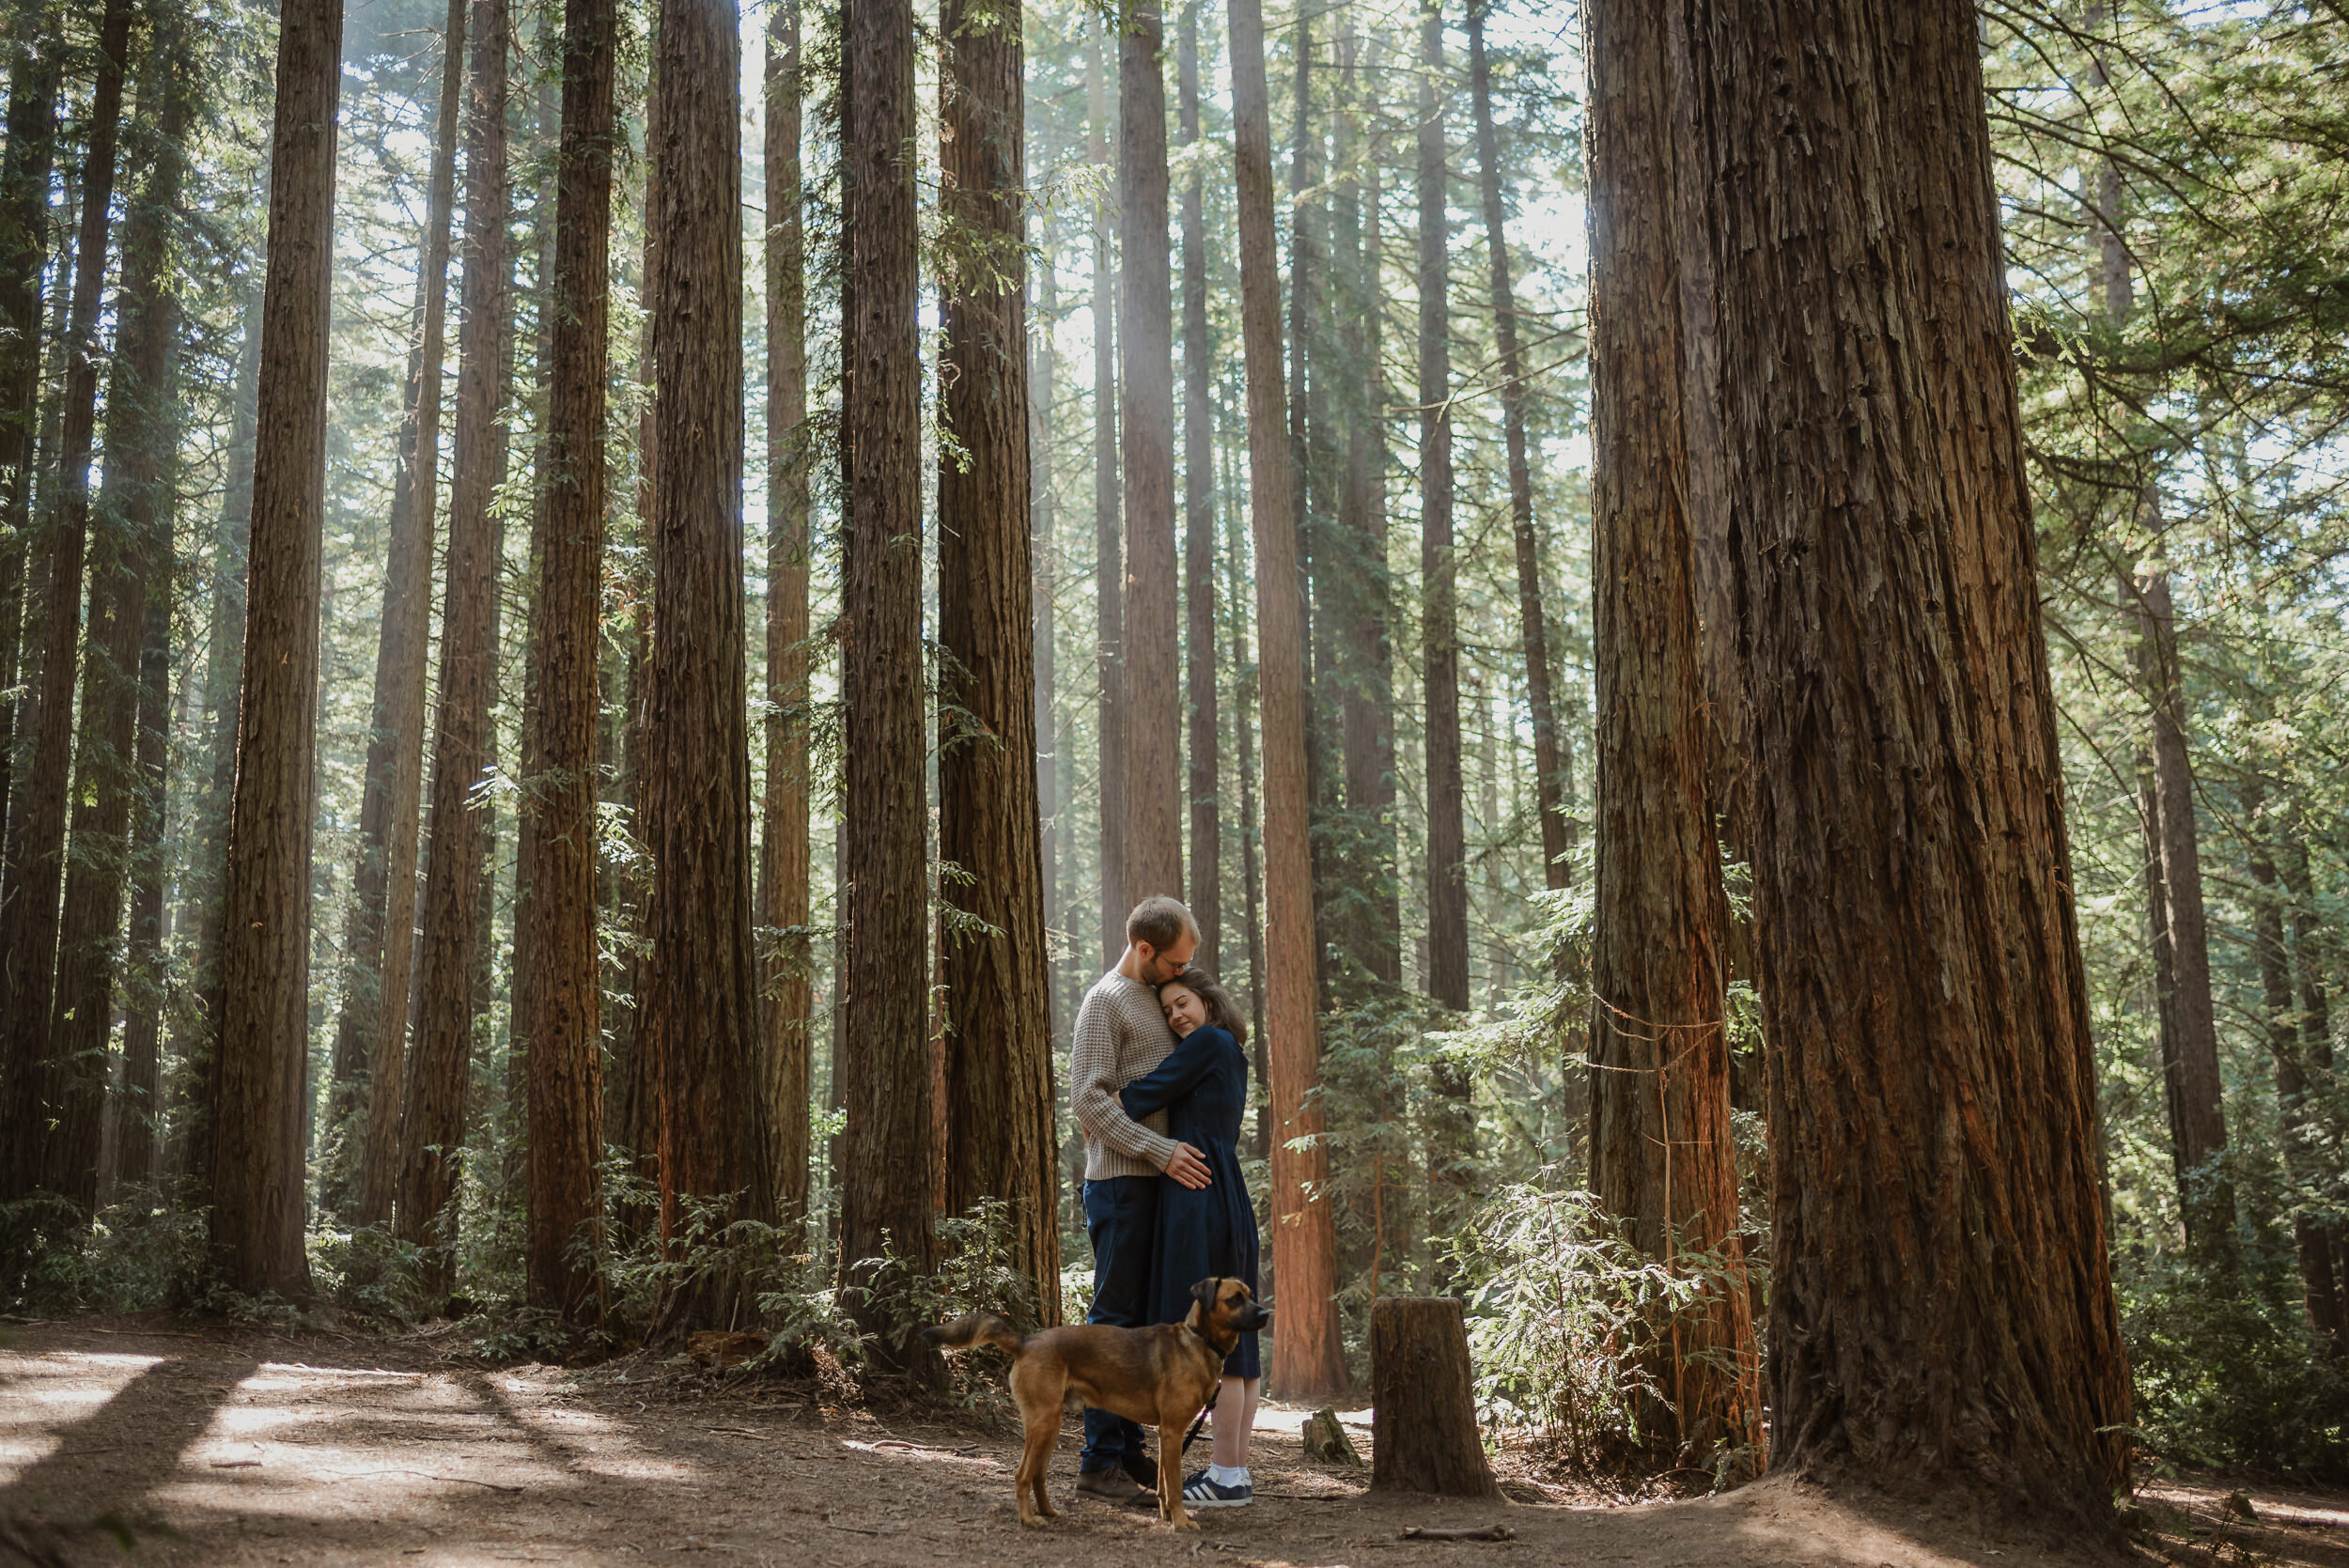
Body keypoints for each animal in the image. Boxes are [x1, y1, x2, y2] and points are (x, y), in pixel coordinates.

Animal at [926, 1277, 1278, 1521]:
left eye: (1251, 1295)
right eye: (1234, 1299)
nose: (1266, 1313)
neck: (1198, 1340)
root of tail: (1025, 1342)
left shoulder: (1167, 1435)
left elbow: (1163, 1485)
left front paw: (1166, 1518)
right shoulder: (1173, 1432)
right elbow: (1175, 1488)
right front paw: (1181, 1523)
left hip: (1048, 1425)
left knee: (1038, 1474)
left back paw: (1048, 1512)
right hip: (1043, 1423)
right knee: (1022, 1474)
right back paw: (1028, 1520)